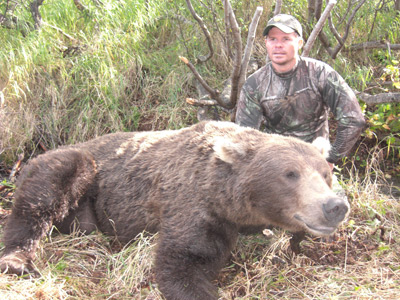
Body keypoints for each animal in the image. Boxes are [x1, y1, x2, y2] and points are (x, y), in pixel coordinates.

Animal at [0, 120, 350, 298]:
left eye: (325, 173)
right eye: (290, 174)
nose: (335, 206)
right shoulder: (194, 204)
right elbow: (182, 262)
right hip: (79, 168)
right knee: (45, 193)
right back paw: (18, 260)